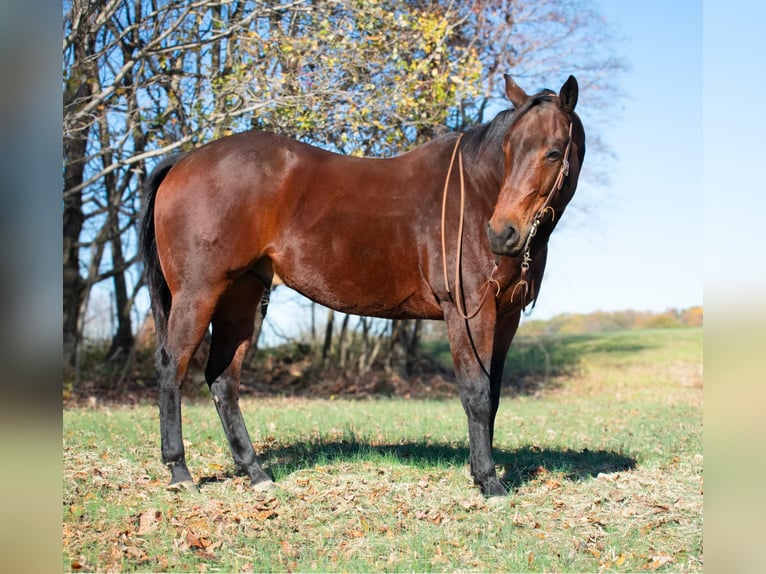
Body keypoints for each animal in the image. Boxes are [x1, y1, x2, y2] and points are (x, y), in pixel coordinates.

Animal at [140, 75, 585, 497]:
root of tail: (182, 162)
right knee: (171, 367)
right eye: (508, 150)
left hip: (241, 297)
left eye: (552, 151)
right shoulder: (467, 313)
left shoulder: (506, 317)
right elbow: (476, 393)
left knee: (223, 380)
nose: (503, 232)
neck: (474, 195)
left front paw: (480, 472)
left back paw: (256, 473)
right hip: (198, 294)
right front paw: (490, 482)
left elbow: (493, 395)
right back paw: (180, 472)